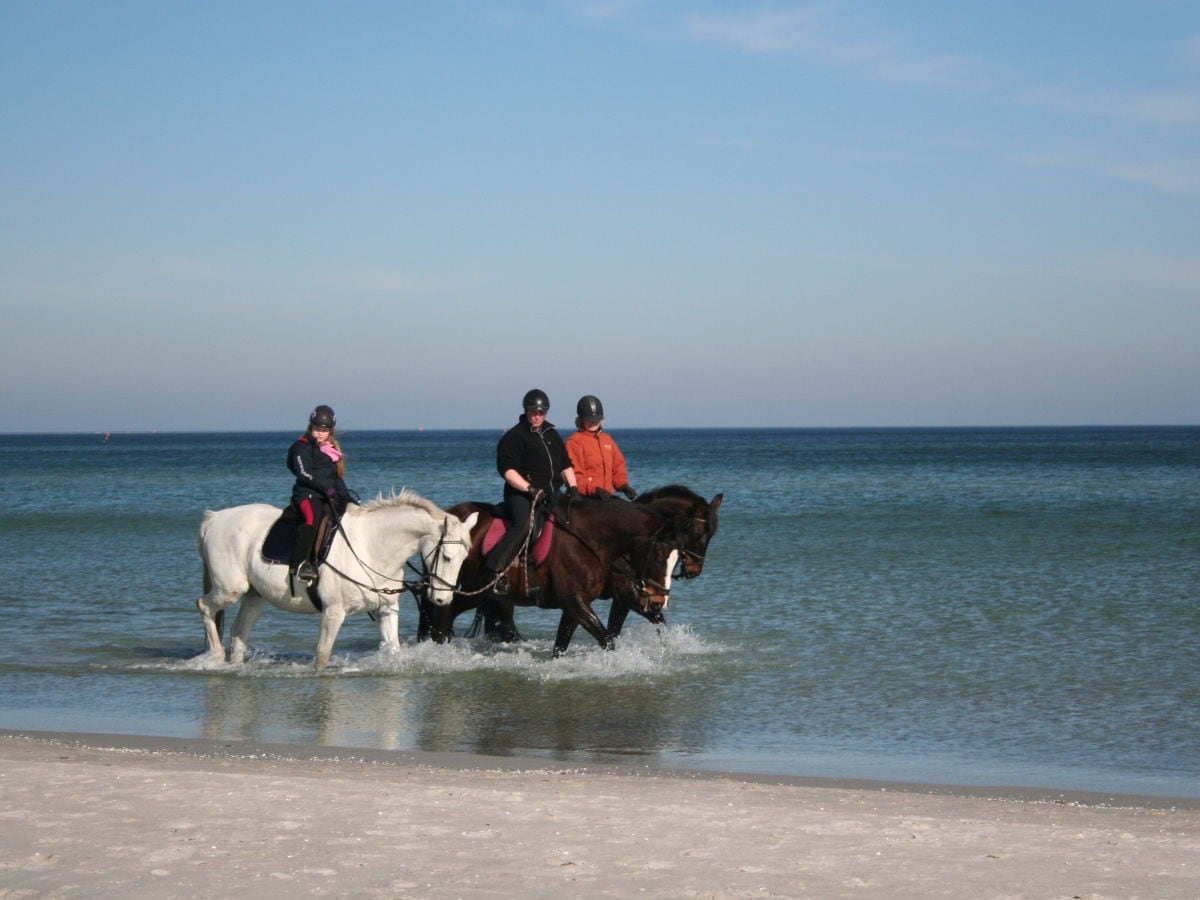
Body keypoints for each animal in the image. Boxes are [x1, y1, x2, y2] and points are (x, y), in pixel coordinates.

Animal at [196, 494, 477, 672]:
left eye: (465, 558)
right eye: (447, 556)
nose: (442, 599)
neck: (371, 546)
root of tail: (216, 517)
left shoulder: (387, 610)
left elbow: (394, 650)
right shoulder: (333, 612)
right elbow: (322, 655)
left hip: (254, 596)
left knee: (239, 631)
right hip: (230, 589)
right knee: (204, 606)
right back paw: (216, 655)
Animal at [420, 496, 686, 657]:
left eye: (677, 559)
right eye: (659, 555)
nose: (660, 599)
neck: (592, 541)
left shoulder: (578, 603)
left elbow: (562, 643)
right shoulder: (576, 601)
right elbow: (607, 639)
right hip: (472, 589)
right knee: (444, 615)